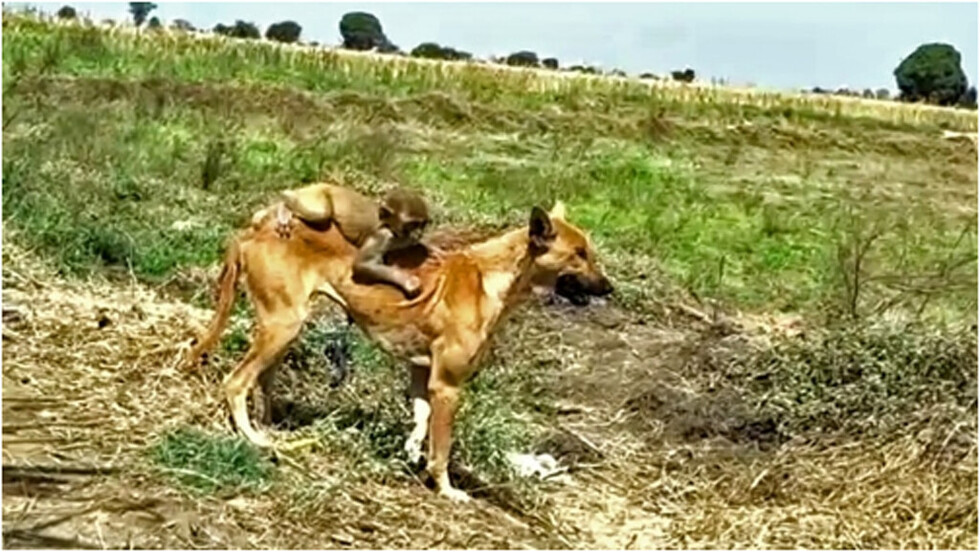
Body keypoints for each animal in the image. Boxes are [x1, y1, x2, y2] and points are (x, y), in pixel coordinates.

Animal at [265, 183, 430, 299]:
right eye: (411, 225)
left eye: (422, 224)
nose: (419, 233)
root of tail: (325, 184)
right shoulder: (382, 236)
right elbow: (361, 264)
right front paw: (407, 281)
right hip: (318, 193)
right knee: (322, 214)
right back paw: (285, 204)